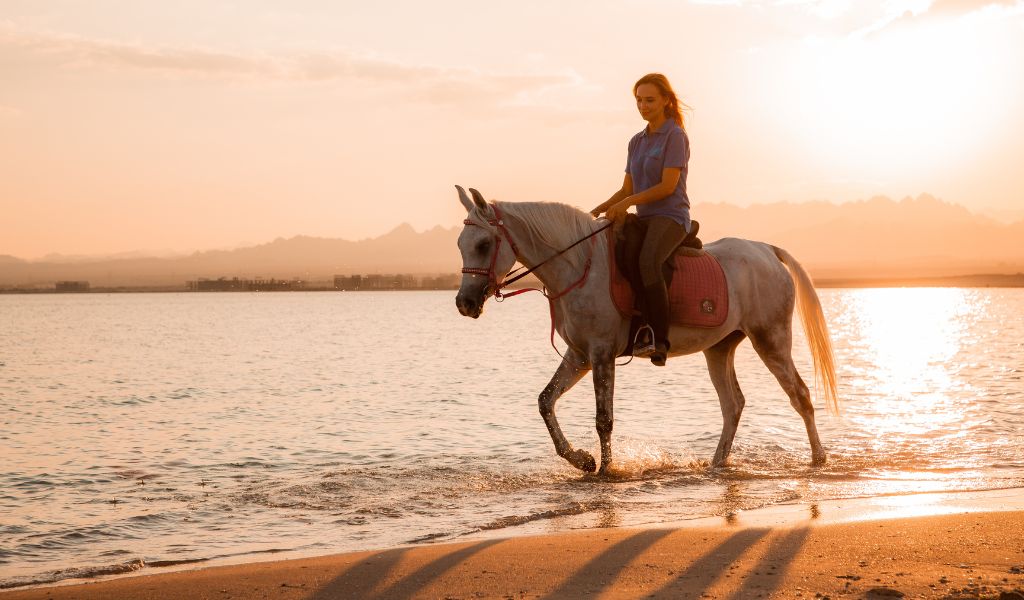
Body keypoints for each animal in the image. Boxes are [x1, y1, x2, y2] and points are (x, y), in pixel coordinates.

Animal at [454, 186, 839, 474]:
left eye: (484, 245)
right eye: (461, 244)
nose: (464, 303)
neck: (577, 265)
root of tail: (767, 252)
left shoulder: (601, 353)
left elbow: (603, 419)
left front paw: (606, 471)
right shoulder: (579, 355)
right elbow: (545, 402)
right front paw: (582, 460)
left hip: (770, 338)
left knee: (799, 395)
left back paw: (819, 459)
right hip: (719, 347)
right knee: (733, 405)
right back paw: (716, 464)